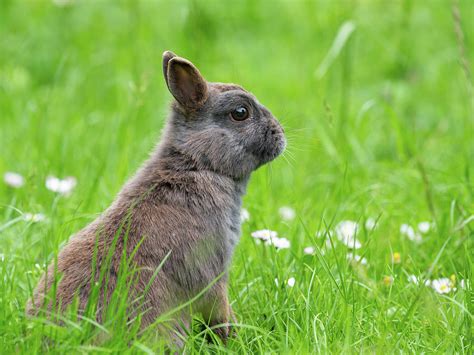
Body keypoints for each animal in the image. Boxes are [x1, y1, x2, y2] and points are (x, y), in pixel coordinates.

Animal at [26, 51, 286, 346]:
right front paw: (231, 337)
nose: (280, 134)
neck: (199, 164)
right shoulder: (212, 269)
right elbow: (218, 308)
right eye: (240, 113)